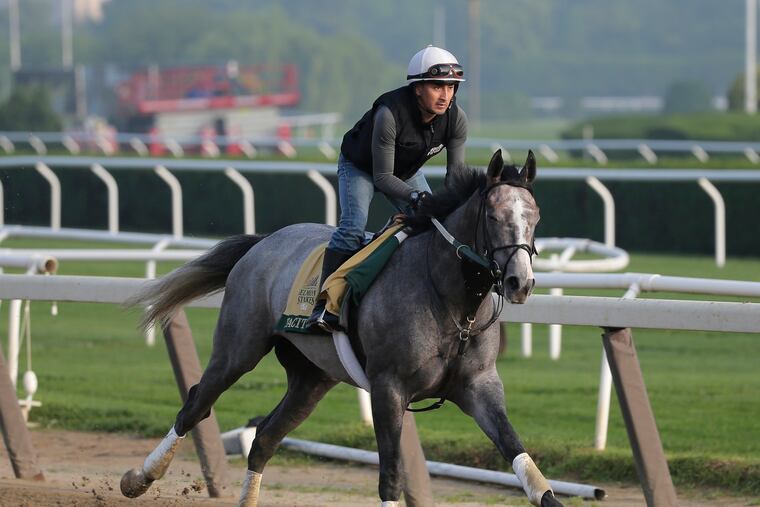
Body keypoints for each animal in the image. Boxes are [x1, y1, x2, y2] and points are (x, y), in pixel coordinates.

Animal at [120, 149, 563, 507]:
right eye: (493, 215)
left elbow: (524, 461)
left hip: (311, 379)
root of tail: (263, 242)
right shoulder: (389, 388)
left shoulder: (480, 387)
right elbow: (390, 476)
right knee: (196, 404)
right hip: (238, 349)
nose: (520, 282)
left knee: (264, 437)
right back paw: (138, 479)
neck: (451, 301)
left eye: (536, 218)